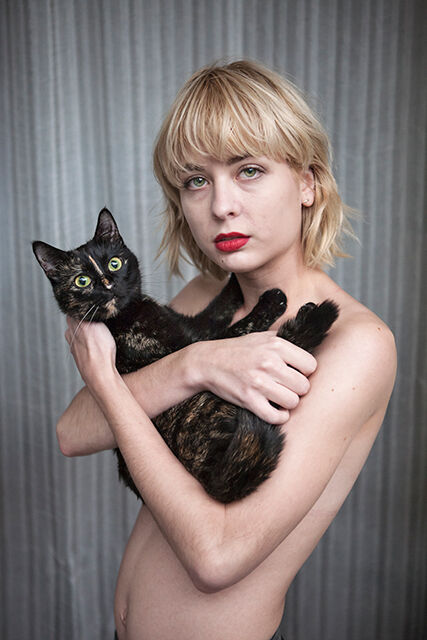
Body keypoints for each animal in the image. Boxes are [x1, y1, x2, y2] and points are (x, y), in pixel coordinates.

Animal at [33, 208, 339, 503]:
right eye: (82, 280)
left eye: (114, 263)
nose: (108, 284)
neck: (127, 315)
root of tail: (212, 480)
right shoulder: (195, 344)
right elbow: (238, 329)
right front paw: (272, 300)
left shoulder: (192, 325)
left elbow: (217, 308)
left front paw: (233, 279)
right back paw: (311, 314)